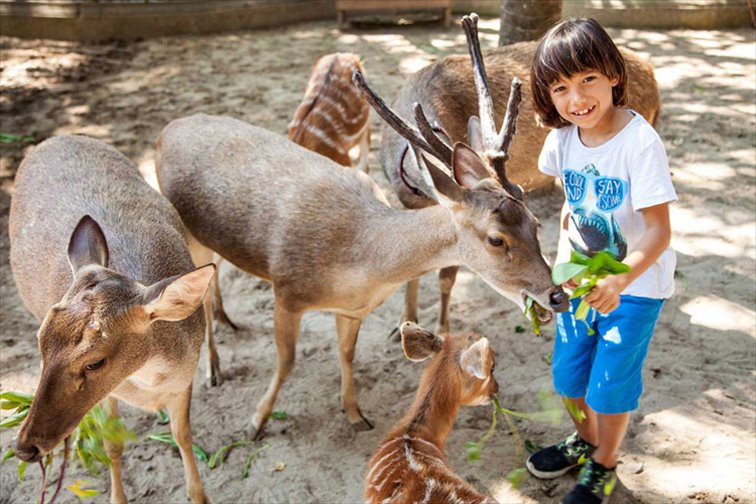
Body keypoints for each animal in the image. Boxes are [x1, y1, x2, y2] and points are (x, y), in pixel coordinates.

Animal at [8, 135, 216, 504]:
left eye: (95, 362)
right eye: (40, 341)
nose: (24, 448)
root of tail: (54, 138)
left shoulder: (183, 381)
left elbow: (183, 436)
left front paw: (199, 495)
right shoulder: (111, 396)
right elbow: (112, 446)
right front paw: (117, 497)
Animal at [380, 14, 660, 338]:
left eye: (534, 222)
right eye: (496, 240)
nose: (557, 297)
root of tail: (653, 75)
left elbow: (446, 277)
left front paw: (444, 331)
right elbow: (412, 270)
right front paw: (402, 323)